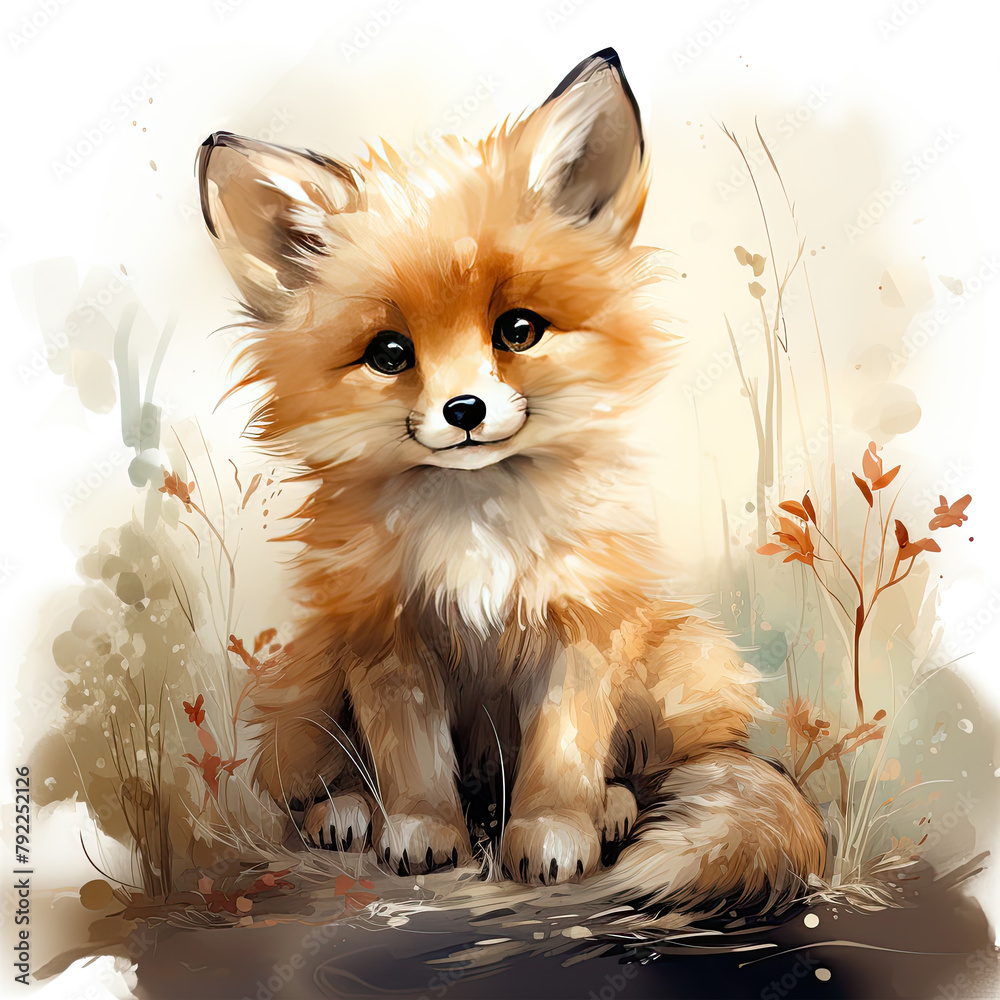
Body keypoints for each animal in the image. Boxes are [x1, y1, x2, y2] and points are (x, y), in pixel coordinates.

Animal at [197, 48, 826, 911]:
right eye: (389, 353)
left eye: (518, 331)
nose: (464, 409)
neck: (475, 523)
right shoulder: (387, 637)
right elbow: (411, 763)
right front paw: (422, 832)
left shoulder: (581, 625)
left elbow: (563, 756)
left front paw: (555, 834)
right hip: (308, 679)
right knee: (313, 779)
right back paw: (349, 812)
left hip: (675, 664)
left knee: (650, 771)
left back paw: (613, 807)